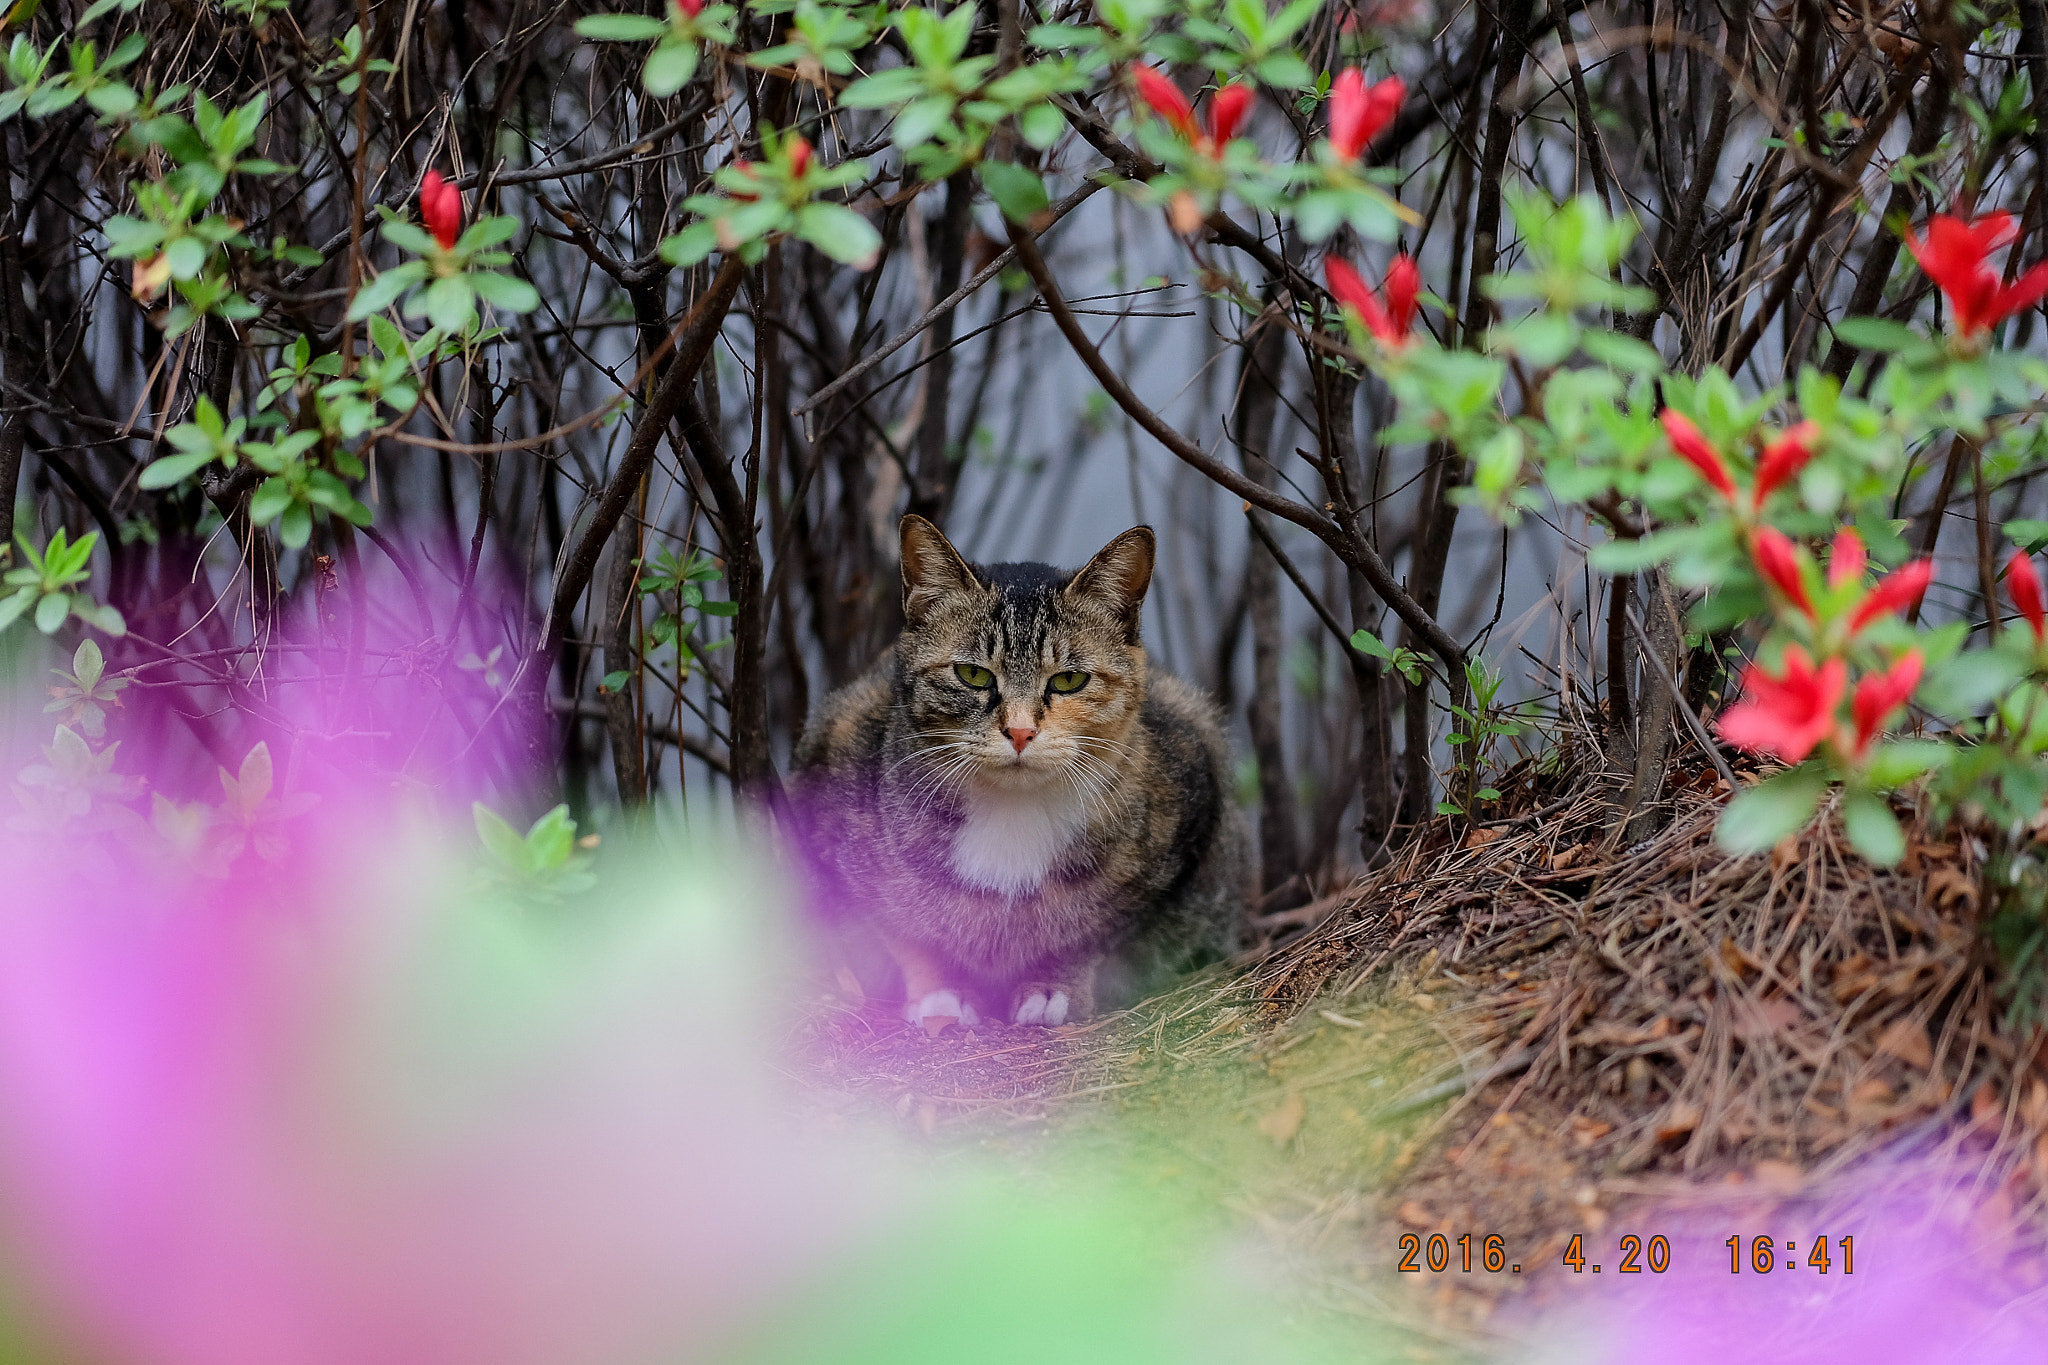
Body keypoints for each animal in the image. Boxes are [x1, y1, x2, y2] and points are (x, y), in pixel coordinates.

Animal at [790, 517, 1245, 1031]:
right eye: (972, 674)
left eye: (1069, 679)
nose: (1021, 731)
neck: (1012, 813)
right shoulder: (833, 785)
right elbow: (903, 931)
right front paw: (940, 994)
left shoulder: (1190, 789)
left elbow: (1090, 930)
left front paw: (1052, 988)